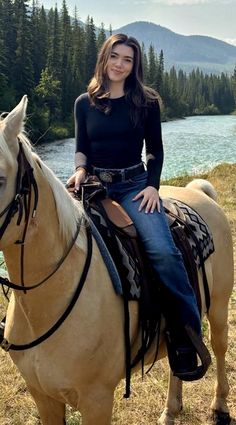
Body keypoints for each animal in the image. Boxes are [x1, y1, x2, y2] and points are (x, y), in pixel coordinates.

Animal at [0, 97, 233, 424]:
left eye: (0, 179)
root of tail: (199, 192)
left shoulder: (96, 400)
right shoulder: (42, 396)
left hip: (220, 306)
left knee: (220, 347)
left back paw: (220, 406)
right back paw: (170, 410)